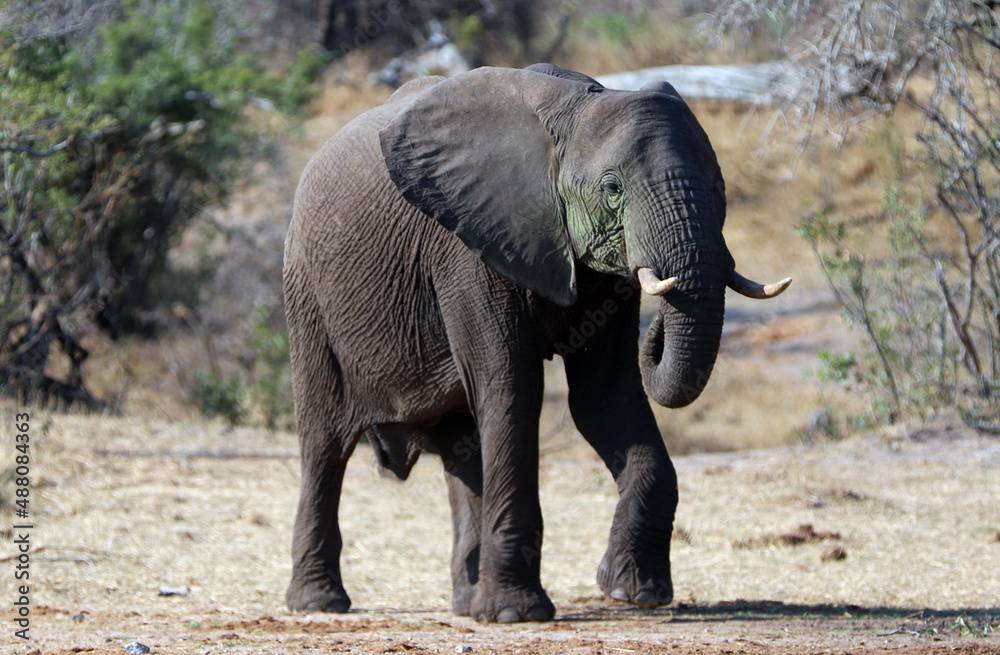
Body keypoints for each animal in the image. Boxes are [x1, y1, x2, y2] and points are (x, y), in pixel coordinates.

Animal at [282, 65, 788, 624]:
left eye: (719, 186)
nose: (656, 327)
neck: (574, 111)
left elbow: (605, 397)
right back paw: (320, 602)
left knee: (461, 444)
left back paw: (466, 602)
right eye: (613, 189)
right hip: (307, 294)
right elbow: (513, 389)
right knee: (325, 440)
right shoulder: (468, 246)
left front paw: (634, 593)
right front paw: (514, 615)